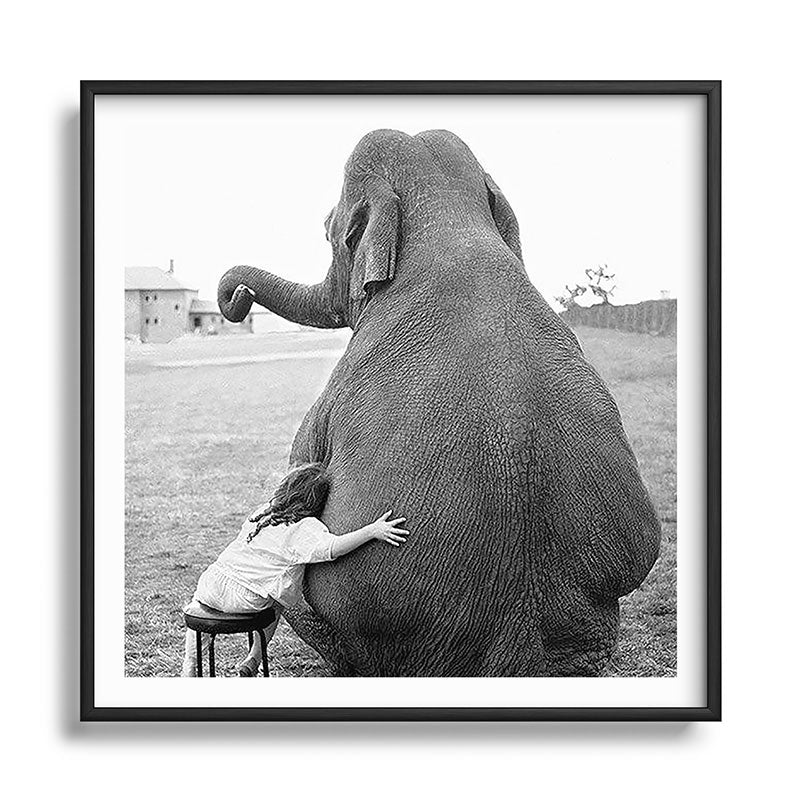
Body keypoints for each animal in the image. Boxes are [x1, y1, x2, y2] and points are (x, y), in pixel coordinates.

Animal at [217, 129, 661, 677]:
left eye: (328, 229)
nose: (236, 295)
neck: (448, 220)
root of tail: (517, 654)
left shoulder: (330, 397)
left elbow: (300, 471)